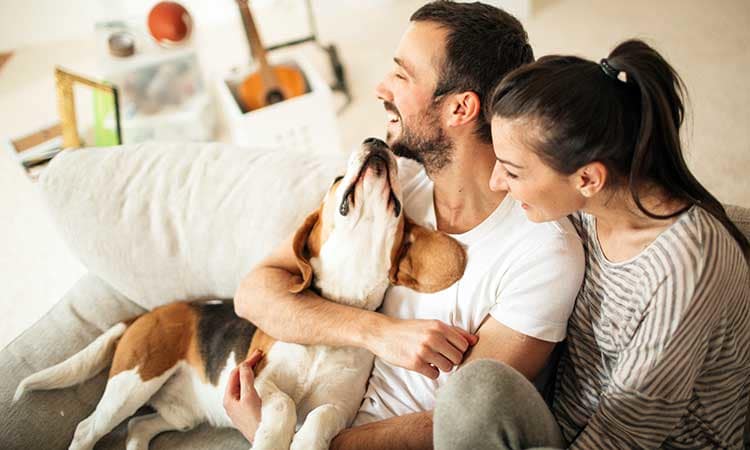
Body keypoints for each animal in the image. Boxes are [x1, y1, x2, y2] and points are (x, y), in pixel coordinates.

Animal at [14, 138, 468, 450]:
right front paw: (271, 439)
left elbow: (319, 416)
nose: (376, 141)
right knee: (87, 428)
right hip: (133, 381)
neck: (335, 315)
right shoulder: (256, 377)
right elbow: (284, 405)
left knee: (138, 426)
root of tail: (150, 313)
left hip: (178, 413)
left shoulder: (340, 407)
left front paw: (306, 443)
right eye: (338, 179)